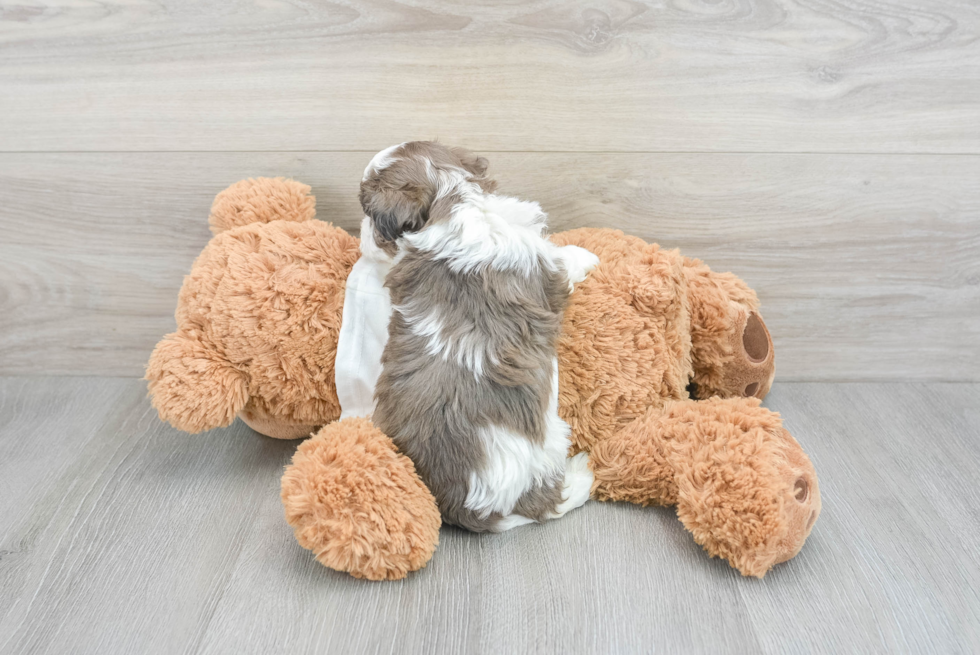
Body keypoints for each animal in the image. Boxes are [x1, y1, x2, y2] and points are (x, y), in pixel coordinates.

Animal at [358, 140, 596, 532]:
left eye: (368, 213)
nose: (361, 231)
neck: (453, 198)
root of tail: (472, 509)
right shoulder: (545, 265)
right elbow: (566, 260)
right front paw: (588, 255)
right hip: (551, 441)